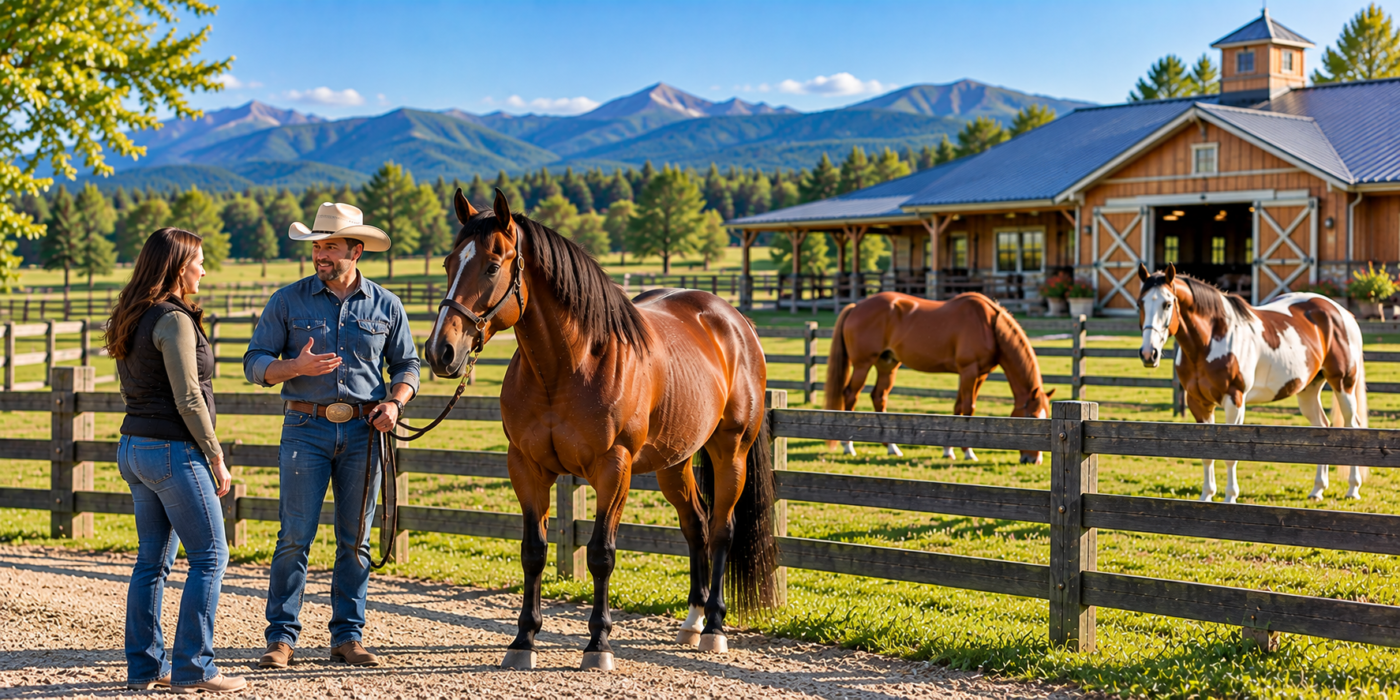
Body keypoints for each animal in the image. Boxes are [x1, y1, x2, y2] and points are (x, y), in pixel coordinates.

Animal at [424, 188, 778, 671]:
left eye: (493, 265)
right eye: (448, 263)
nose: (440, 351)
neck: (568, 367)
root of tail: (735, 322)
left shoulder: (614, 469)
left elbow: (600, 553)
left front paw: (598, 644)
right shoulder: (527, 467)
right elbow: (533, 551)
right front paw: (523, 640)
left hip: (731, 452)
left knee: (722, 528)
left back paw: (715, 628)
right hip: (675, 462)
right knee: (697, 525)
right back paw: (693, 621)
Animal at [822, 292, 1054, 464]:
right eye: (1032, 418)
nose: (1034, 460)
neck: (989, 325)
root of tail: (856, 307)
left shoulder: (978, 374)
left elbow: (958, 408)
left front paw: (948, 449)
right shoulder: (969, 371)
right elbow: (969, 408)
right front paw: (968, 451)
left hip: (887, 364)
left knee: (879, 397)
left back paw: (891, 447)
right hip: (863, 365)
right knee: (850, 395)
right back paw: (848, 445)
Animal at [1136, 263, 1368, 502]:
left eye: (1167, 304)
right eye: (1139, 303)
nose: (1149, 354)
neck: (1210, 340)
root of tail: (1342, 313)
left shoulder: (1234, 401)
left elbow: (1230, 455)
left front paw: (1230, 497)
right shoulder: (1198, 403)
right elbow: (1206, 454)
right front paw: (1206, 496)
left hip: (1343, 384)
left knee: (1353, 427)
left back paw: (1353, 488)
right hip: (1308, 390)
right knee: (1322, 427)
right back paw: (1317, 490)